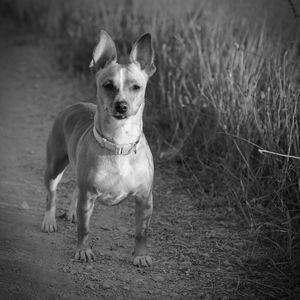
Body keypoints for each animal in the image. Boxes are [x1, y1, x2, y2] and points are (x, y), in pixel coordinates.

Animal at [40, 30, 156, 268]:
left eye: (136, 87)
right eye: (108, 85)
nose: (122, 106)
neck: (119, 145)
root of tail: (76, 104)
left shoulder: (144, 198)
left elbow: (141, 232)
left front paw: (140, 255)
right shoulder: (88, 196)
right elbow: (84, 229)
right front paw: (83, 251)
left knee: (74, 189)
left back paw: (71, 213)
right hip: (55, 166)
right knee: (52, 194)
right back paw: (49, 220)